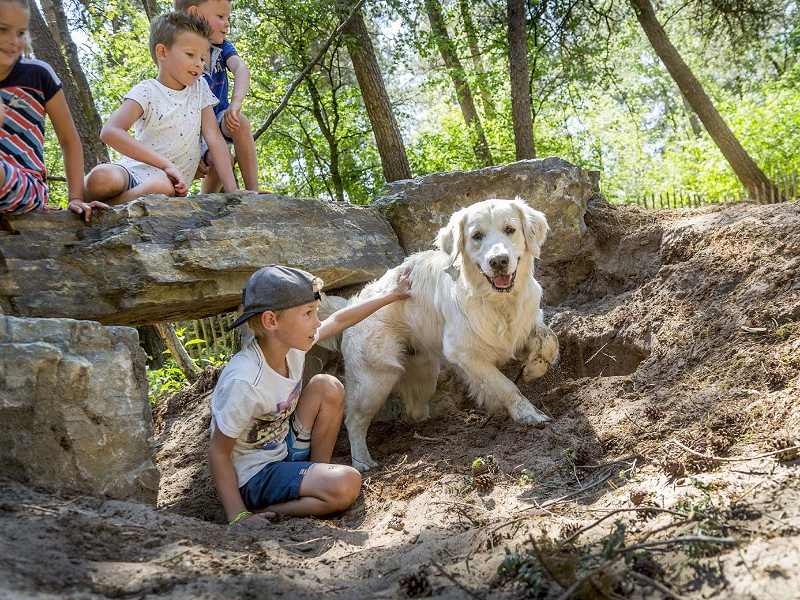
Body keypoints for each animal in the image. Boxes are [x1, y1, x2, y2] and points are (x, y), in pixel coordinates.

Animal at [318, 199, 556, 472]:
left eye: (510, 230)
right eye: (476, 236)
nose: (499, 261)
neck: (498, 302)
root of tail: (352, 302)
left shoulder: (528, 321)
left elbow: (549, 339)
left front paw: (533, 369)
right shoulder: (462, 352)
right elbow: (504, 385)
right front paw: (527, 414)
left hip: (424, 374)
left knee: (414, 411)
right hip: (374, 379)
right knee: (355, 420)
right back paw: (362, 462)